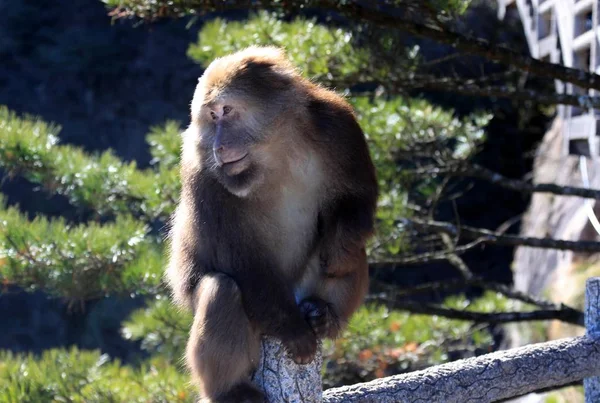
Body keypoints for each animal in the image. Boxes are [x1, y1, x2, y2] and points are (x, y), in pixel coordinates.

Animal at [166, 45, 378, 402]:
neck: (275, 150)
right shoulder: (203, 175)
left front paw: (338, 249)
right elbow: (241, 260)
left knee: (352, 250)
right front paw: (294, 332)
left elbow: (357, 197)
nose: (218, 145)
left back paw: (326, 313)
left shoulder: (338, 124)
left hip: (302, 288)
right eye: (211, 116)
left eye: (226, 111)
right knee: (223, 289)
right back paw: (229, 389)